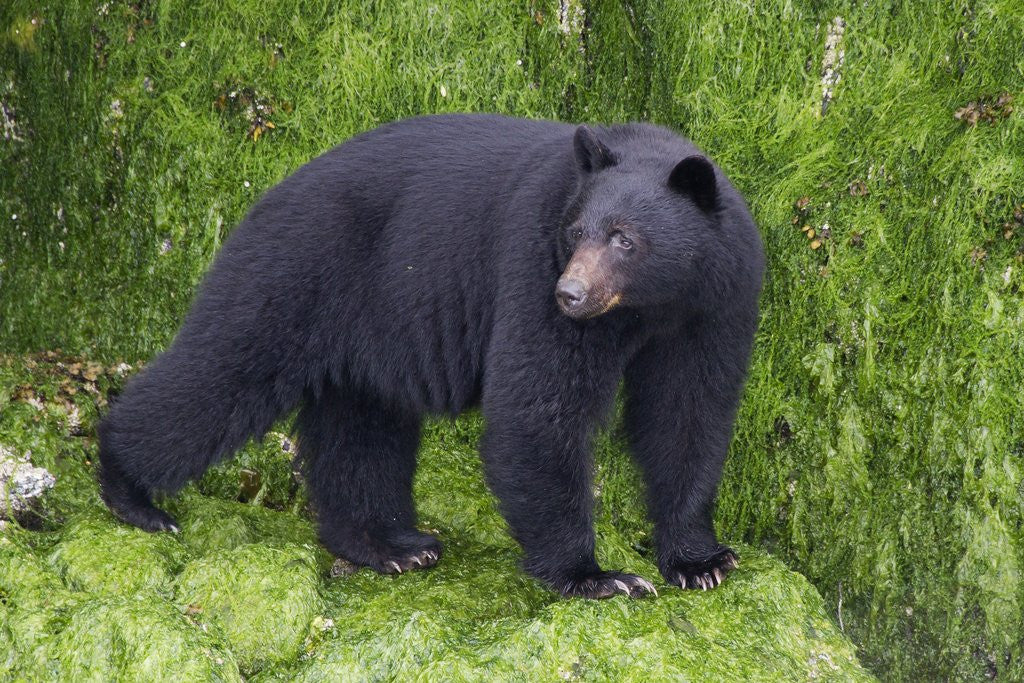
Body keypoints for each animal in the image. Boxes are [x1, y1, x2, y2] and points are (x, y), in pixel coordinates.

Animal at [98, 113, 764, 599]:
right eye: (577, 232)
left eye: (624, 238)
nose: (570, 294)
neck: (650, 306)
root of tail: (266, 195)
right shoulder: (531, 266)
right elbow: (538, 407)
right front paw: (597, 576)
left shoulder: (716, 303)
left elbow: (689, 411)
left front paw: (701, 558)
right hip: (289, 277)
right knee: (218, 377)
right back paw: (130, 490)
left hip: (362, 332)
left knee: (362, 432)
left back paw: (389, 545)